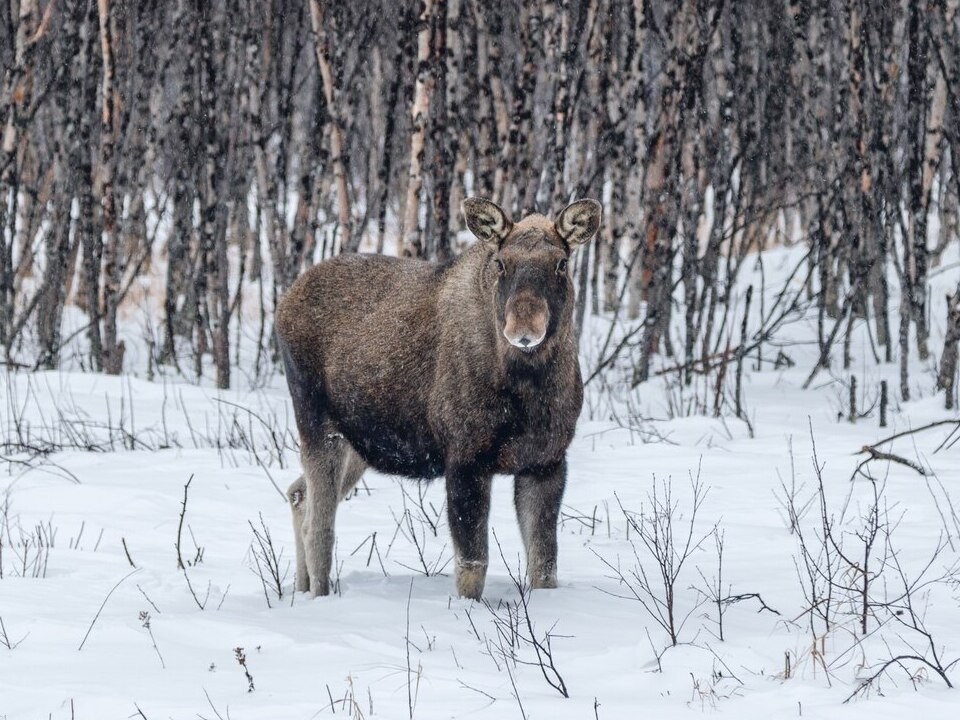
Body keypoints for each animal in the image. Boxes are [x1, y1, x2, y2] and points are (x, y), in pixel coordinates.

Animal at [276, 195, 600, 596]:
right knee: (319, 528)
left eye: (562, 263)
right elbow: (472, 565)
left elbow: (544, 566)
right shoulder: (464, 458)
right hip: (316, 422)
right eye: (501, 262)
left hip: (358, 444)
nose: (524, 330)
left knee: (298, 494)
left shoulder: (546, 462)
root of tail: (284, 303)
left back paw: (301, 588)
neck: (528, 390)